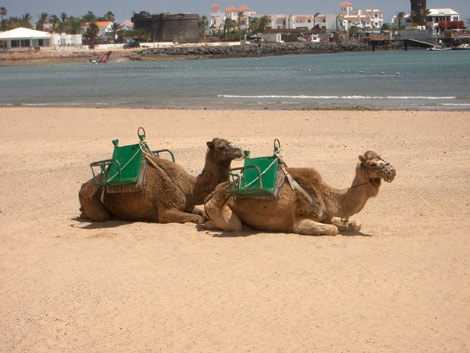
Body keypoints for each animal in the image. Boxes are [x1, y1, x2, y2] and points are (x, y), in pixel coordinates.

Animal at [79, 137, 242, 223]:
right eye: (221, 146)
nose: (239, 150)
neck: (188, 188)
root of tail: (82, 186)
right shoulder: (166, 209)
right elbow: (196, 218)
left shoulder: (188, 205)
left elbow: (199, 212)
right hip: (92, 202)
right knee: (99, 215)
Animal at [206, 150, 396, 235]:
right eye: (372, 163)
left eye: (382, 158)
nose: (392, 171)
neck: (326, 196)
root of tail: (212, 193)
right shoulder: (299, 219)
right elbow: (333, 229)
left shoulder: (325, 215)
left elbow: (355, 223)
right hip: (219, 208)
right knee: (231, 224)